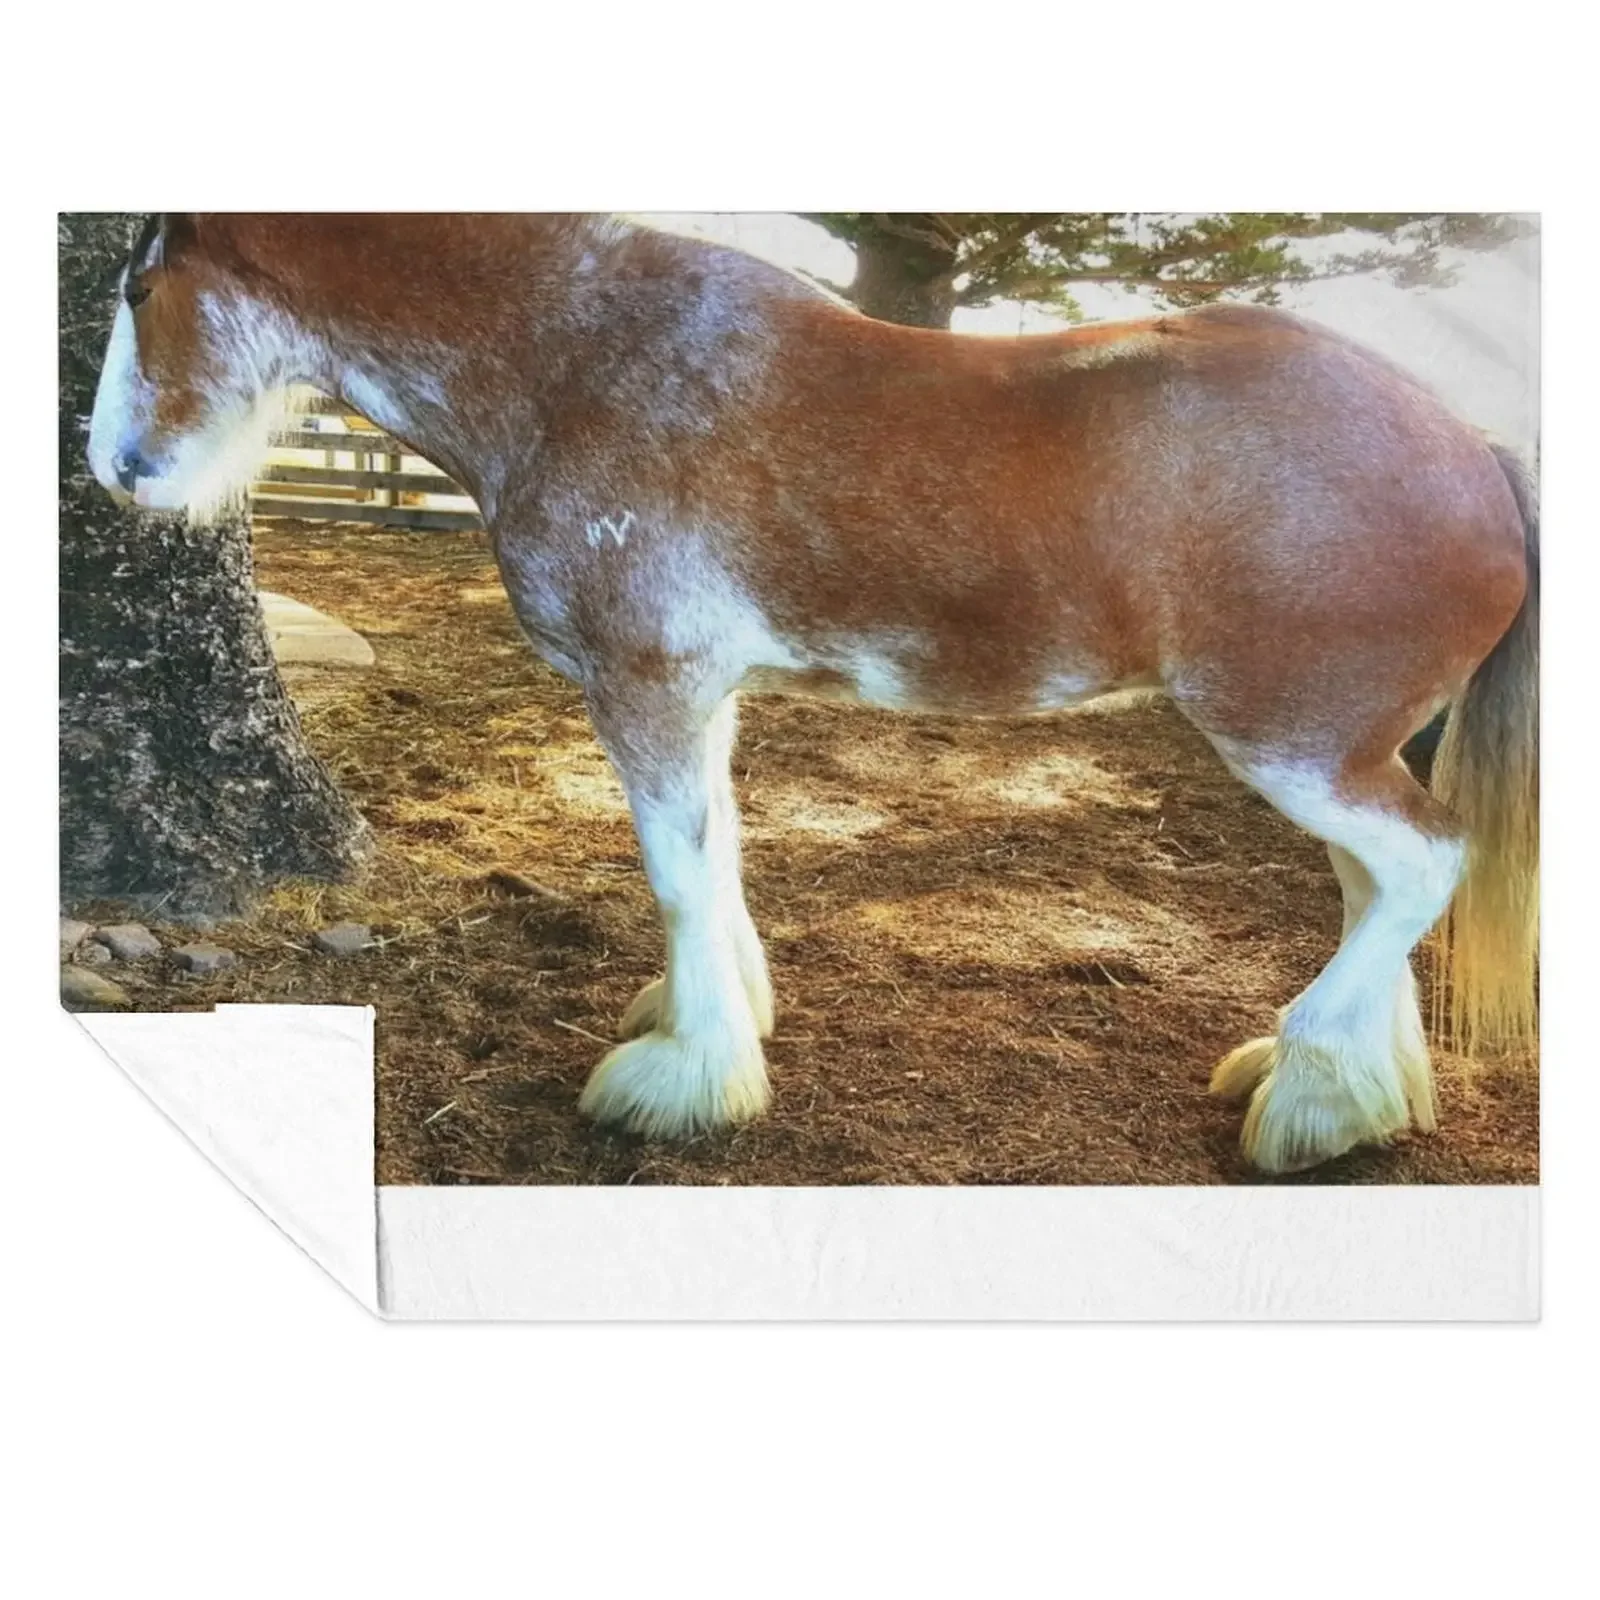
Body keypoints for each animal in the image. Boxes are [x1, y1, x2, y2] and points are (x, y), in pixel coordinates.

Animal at [86, 213, 1539, 1174]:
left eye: (141, 281)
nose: (116, 465)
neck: (578, 354)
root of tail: (1475, 449)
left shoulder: (648, 684)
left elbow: (675, 875)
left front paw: (680, 1085)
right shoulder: (703, 691)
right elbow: (718, 860)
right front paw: (713, 1024)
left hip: (1294, 744)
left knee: (1421, 866)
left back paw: (1306, 1104)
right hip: (1341, 752)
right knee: (1373, 887)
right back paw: (1351, 1092)